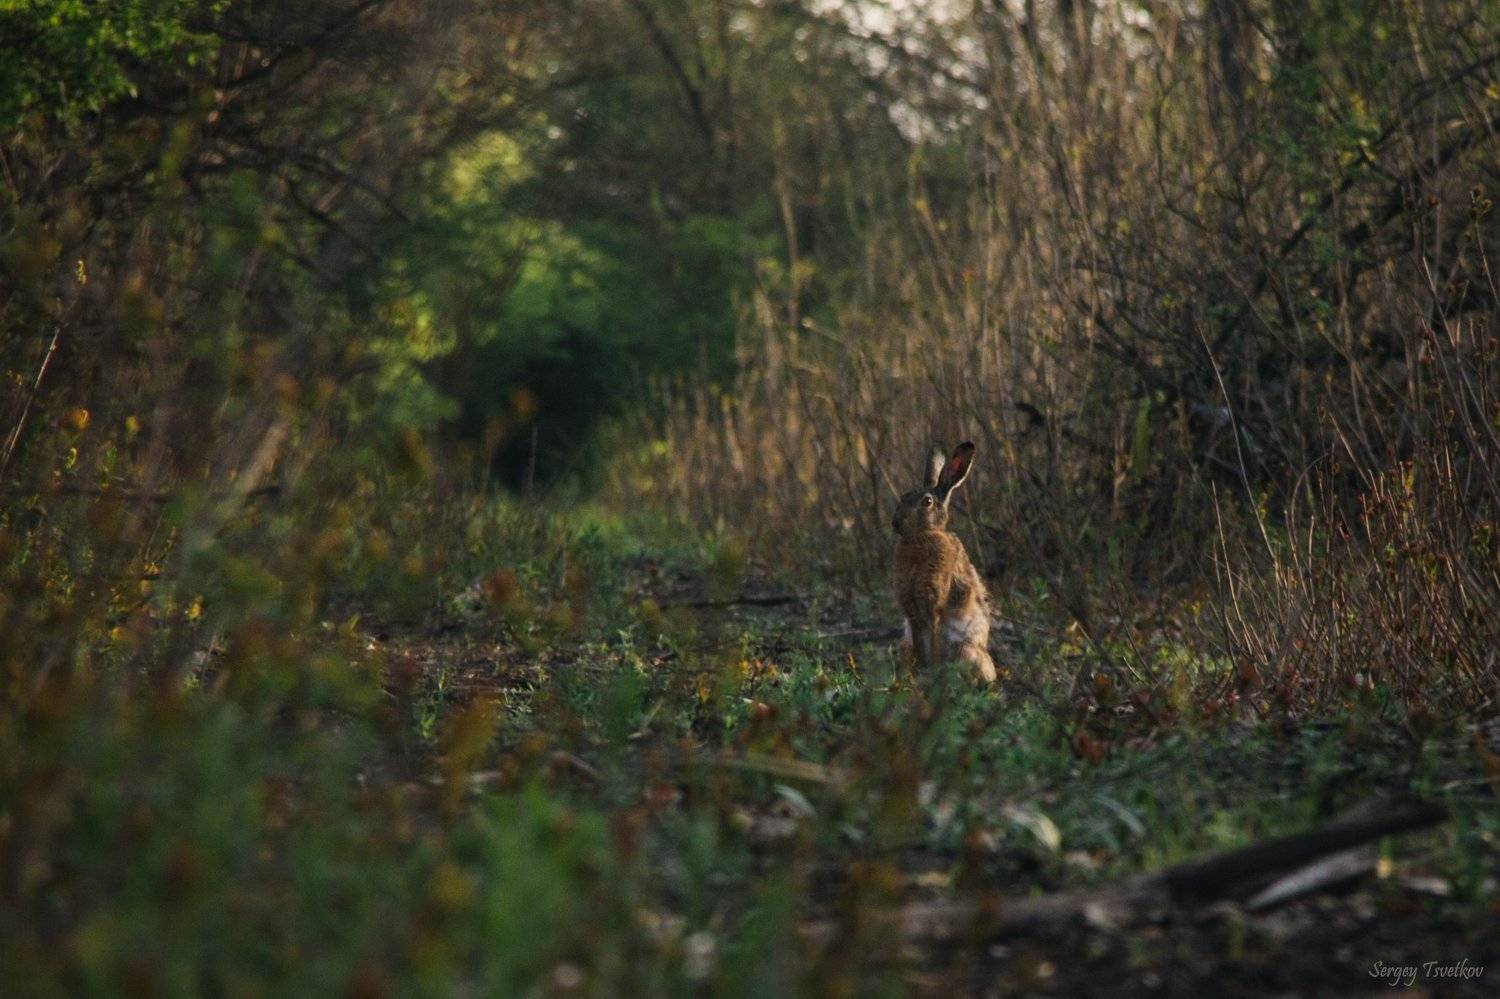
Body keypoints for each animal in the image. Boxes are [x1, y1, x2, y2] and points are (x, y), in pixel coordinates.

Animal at [892, 441, 998, 683]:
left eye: (927, 502)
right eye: (903, 496)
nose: (896, 523)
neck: (922, 535)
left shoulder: (934, 603)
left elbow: (934, 638)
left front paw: (931, 670)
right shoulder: (912, 608)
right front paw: (922, 670)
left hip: (966, 650)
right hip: (904, 645)